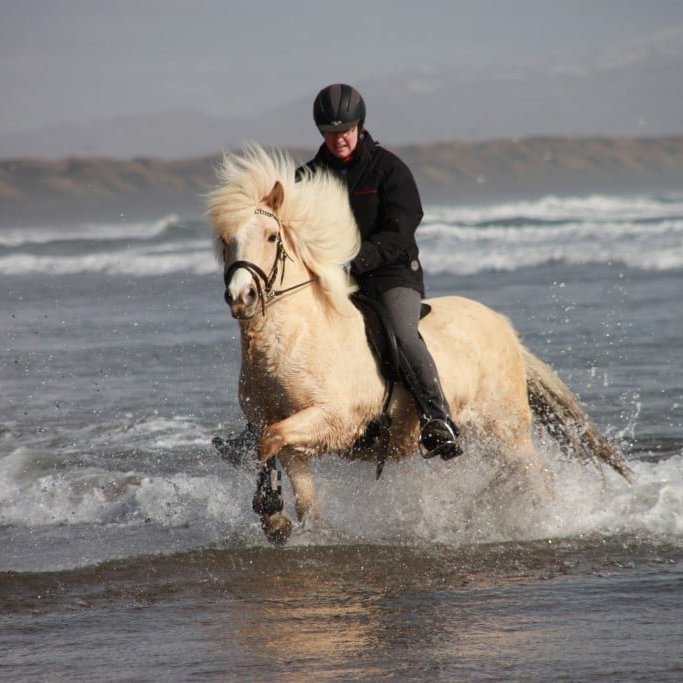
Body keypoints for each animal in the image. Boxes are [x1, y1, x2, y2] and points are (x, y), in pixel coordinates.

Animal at [208, 145, 629, 544]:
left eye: (271, 236)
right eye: (226, 241)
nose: (241, 297)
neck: (293, 340)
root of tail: (503, 327)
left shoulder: (333, 418)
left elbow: (270, 441)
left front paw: (270, 510)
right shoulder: (285, 429)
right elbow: (280, 461)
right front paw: (279, 521)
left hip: (507, 429)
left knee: (537, 476)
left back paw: (542, 522)